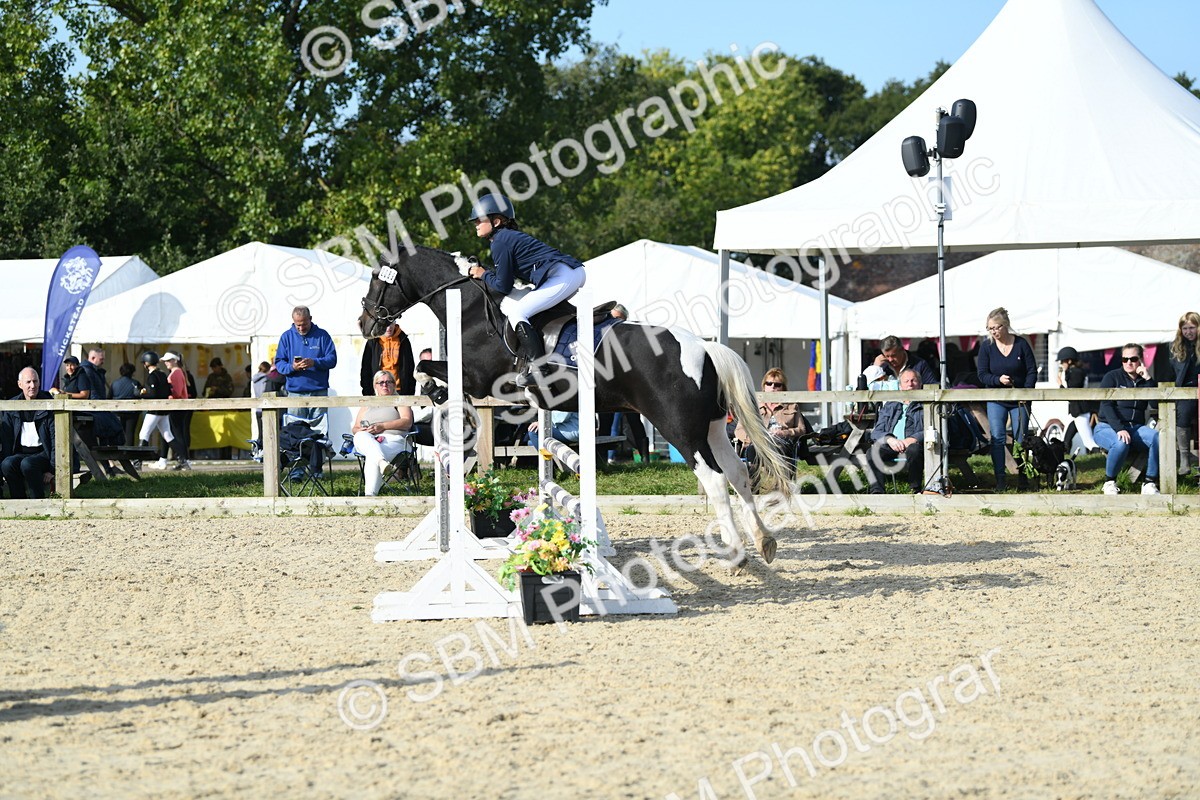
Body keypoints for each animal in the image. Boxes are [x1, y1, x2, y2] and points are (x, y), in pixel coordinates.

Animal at [360, 245, 794, 566]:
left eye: (377, 278)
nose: (366, 324)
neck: (468, 307)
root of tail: (704, 348)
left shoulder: (479, 378)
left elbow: (423, 367)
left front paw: (438, 396)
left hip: (679, 428)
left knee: (716, 479)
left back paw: (735, 553)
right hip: (714, 426)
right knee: (738, 472)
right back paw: (763, 541)